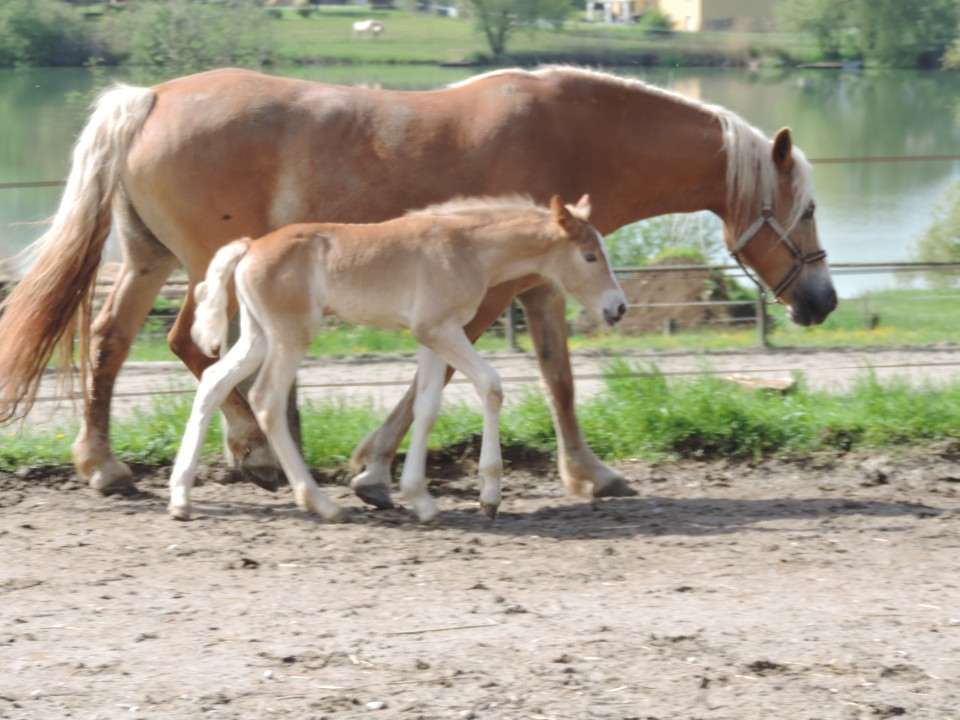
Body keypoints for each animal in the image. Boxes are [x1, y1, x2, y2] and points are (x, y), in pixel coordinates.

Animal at [169, 197, 628, 524]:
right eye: (589, 256)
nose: (618, 308)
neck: (467, 247)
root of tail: (250, 246)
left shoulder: (432, 336)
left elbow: (426, 406)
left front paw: (419, 499)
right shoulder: (439, 330)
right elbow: (492, 385)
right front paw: (489, 498)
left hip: (258, 336)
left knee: (214, 381)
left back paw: (181, 497)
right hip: (289, 336)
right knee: (266, 399)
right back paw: (321, 503)